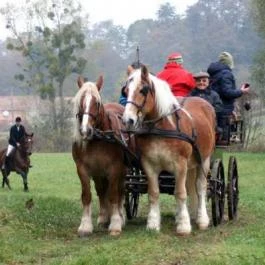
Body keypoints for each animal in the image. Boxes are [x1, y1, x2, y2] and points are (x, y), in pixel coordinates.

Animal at [71, 74, 127, 235]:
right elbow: (87, 195)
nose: (85, 130)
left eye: (96, 102)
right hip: (98, 172)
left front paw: (115, 223)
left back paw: (120, 216)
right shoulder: (83, 169)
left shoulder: (115, 168)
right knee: (101, 191)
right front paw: (85, 225)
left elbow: (114, 195)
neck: (99, 138)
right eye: (80, 102)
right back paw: (103, 217)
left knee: (121, 191)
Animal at [121, 64, 214, 235]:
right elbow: (154, 193)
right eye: (126, 90)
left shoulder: (180, 165)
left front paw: (184, 226)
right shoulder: (149, 165)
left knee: (200, 187)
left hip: (204, 159)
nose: (127, 120)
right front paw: (153, 223)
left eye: (143, 90)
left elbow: (180, 193)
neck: (161, 127)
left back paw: (202, 219)